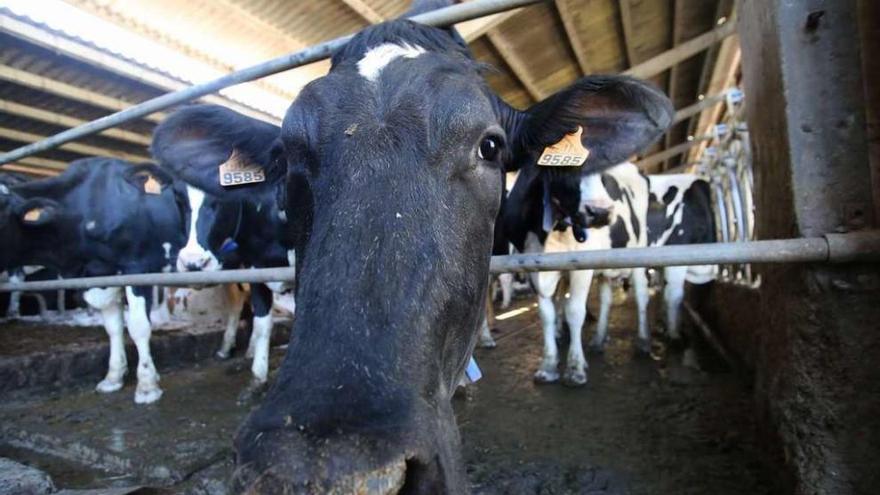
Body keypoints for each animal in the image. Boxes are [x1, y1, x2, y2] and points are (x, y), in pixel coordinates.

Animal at [0, 159, 186, 404]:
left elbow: (138, 327)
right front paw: (113, 377)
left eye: (0, 214)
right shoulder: (101, 276)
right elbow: (113, 328)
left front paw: (147, 386)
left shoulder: (138, 267)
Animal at [153, 105, 298, 396]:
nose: (193, 262)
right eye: (178, 199)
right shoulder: (255, 265)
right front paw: (257, 378)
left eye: (220, 200)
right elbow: (262, 320)